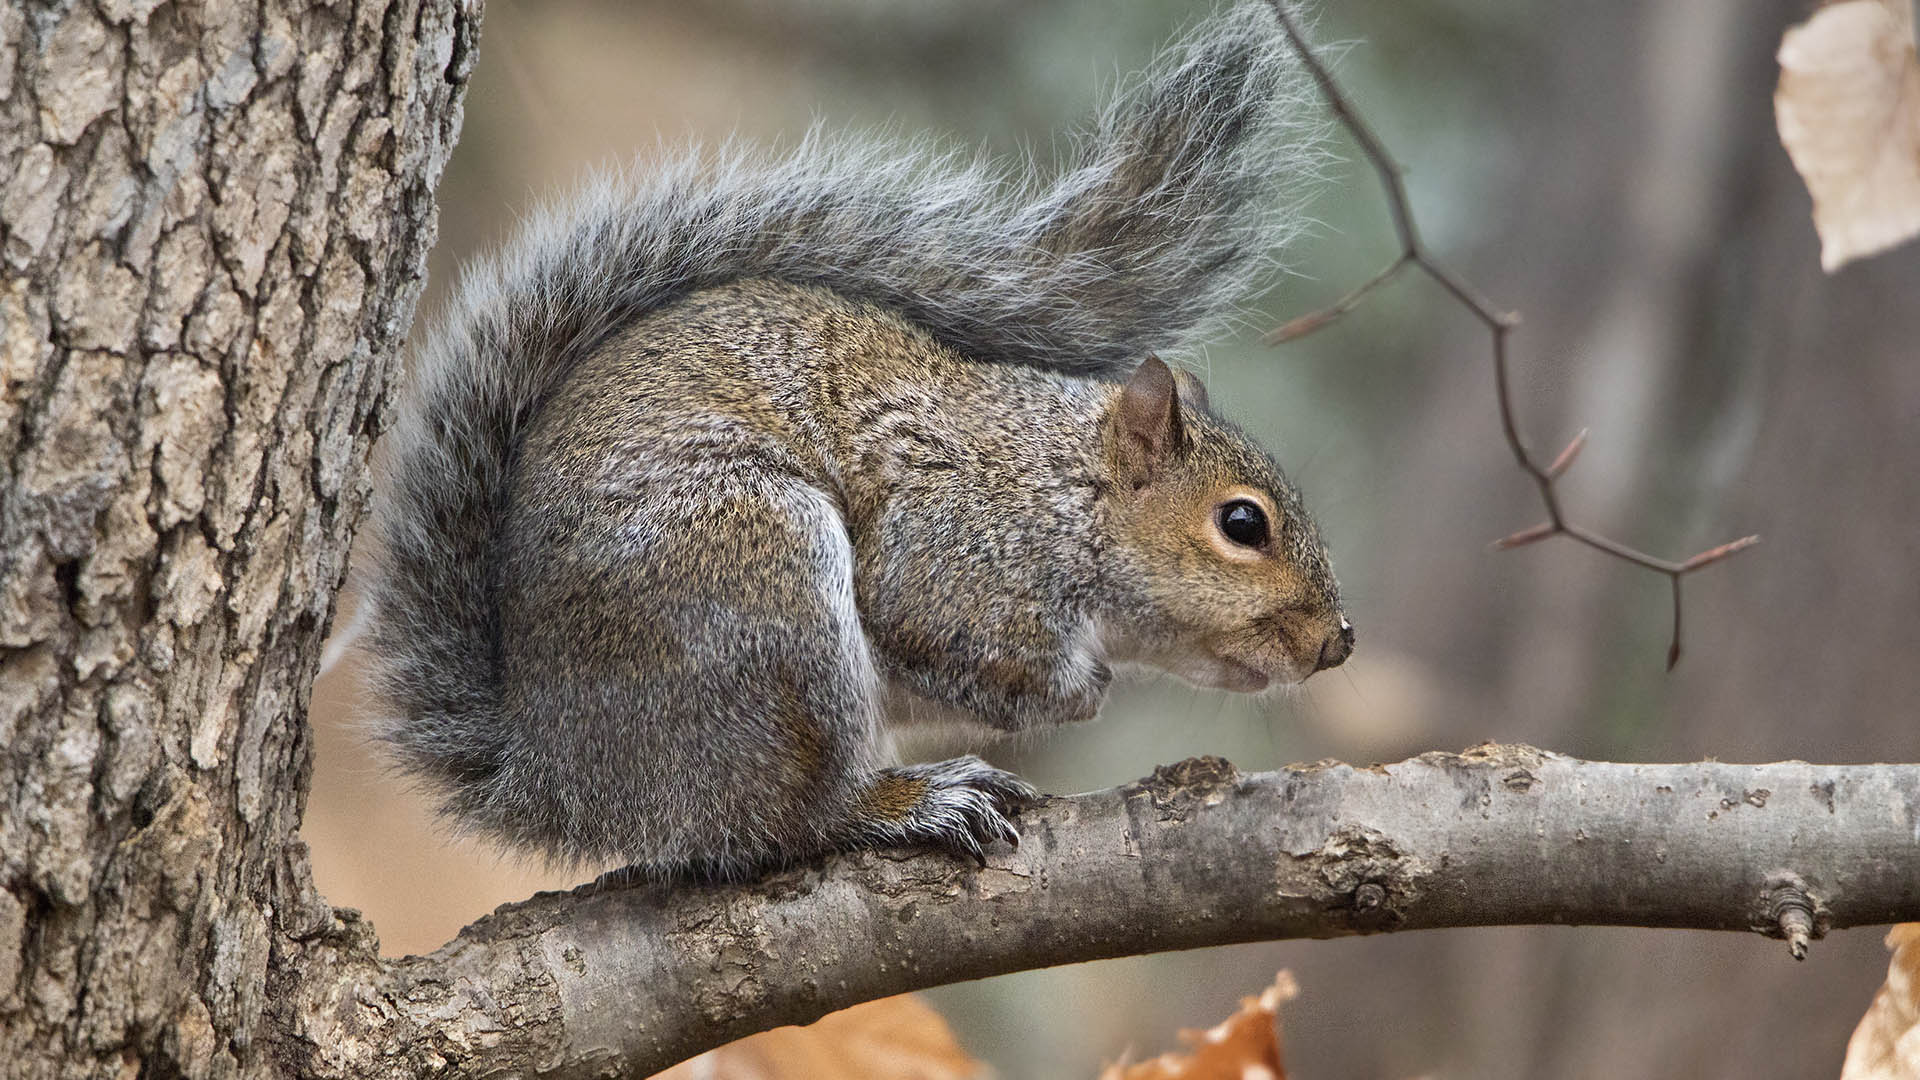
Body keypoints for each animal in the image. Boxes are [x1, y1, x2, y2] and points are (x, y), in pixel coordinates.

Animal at [362, 2, 1351, 876]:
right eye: (1243, 524)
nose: (1338, 641)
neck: (1064, 491)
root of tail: (559, 777)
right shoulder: (957, 546)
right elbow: (934, 629)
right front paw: (1078, 689)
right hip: (760, 588)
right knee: (784, 822)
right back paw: (907, 803)